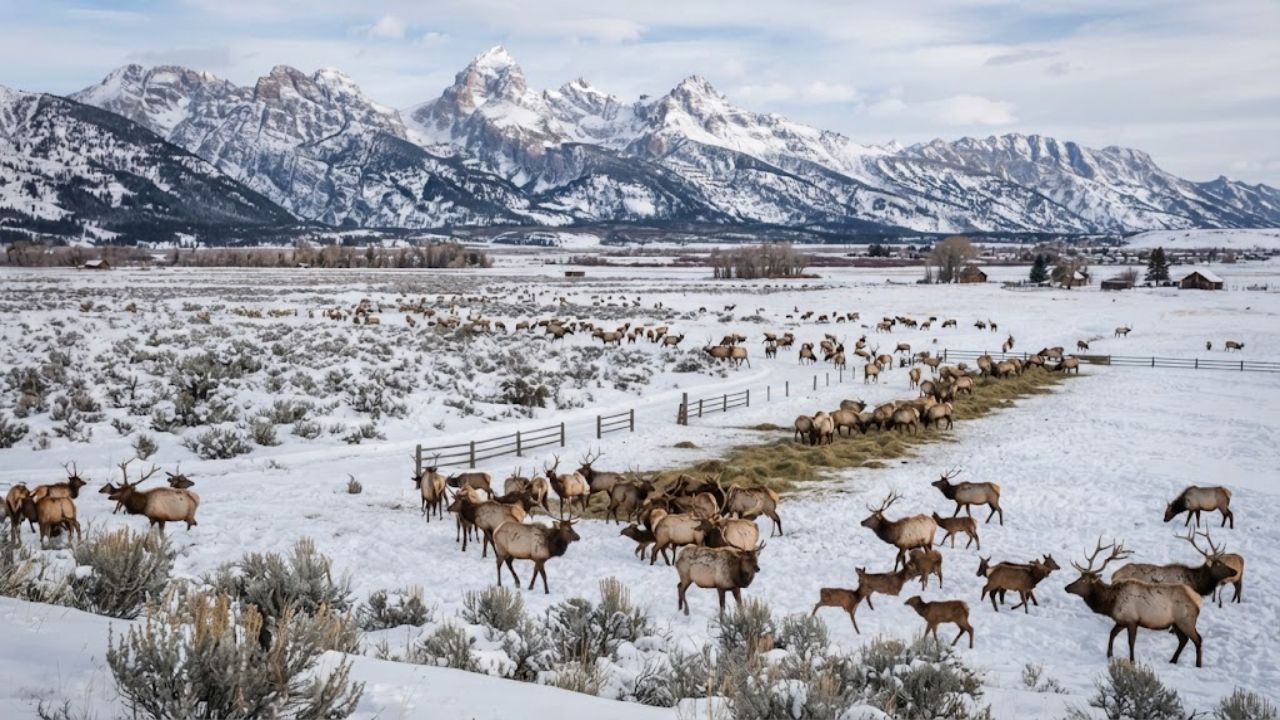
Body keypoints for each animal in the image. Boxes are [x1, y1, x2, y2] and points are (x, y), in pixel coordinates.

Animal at [1064, 538, 1204, 667]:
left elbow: (1131, 642)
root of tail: (1197, 600)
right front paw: (1109, 655)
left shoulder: (1132, 620)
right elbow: (1112, 634)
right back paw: (1173, 660)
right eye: (1079, 577)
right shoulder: (1122, 621)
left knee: (1198, 639)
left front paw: (1132, 661)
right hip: (1176, 623)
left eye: (1084, 580)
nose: (1066, 587)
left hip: (1186, 621)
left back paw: (1198, 664)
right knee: (1183, 640)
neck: (1111, 603)